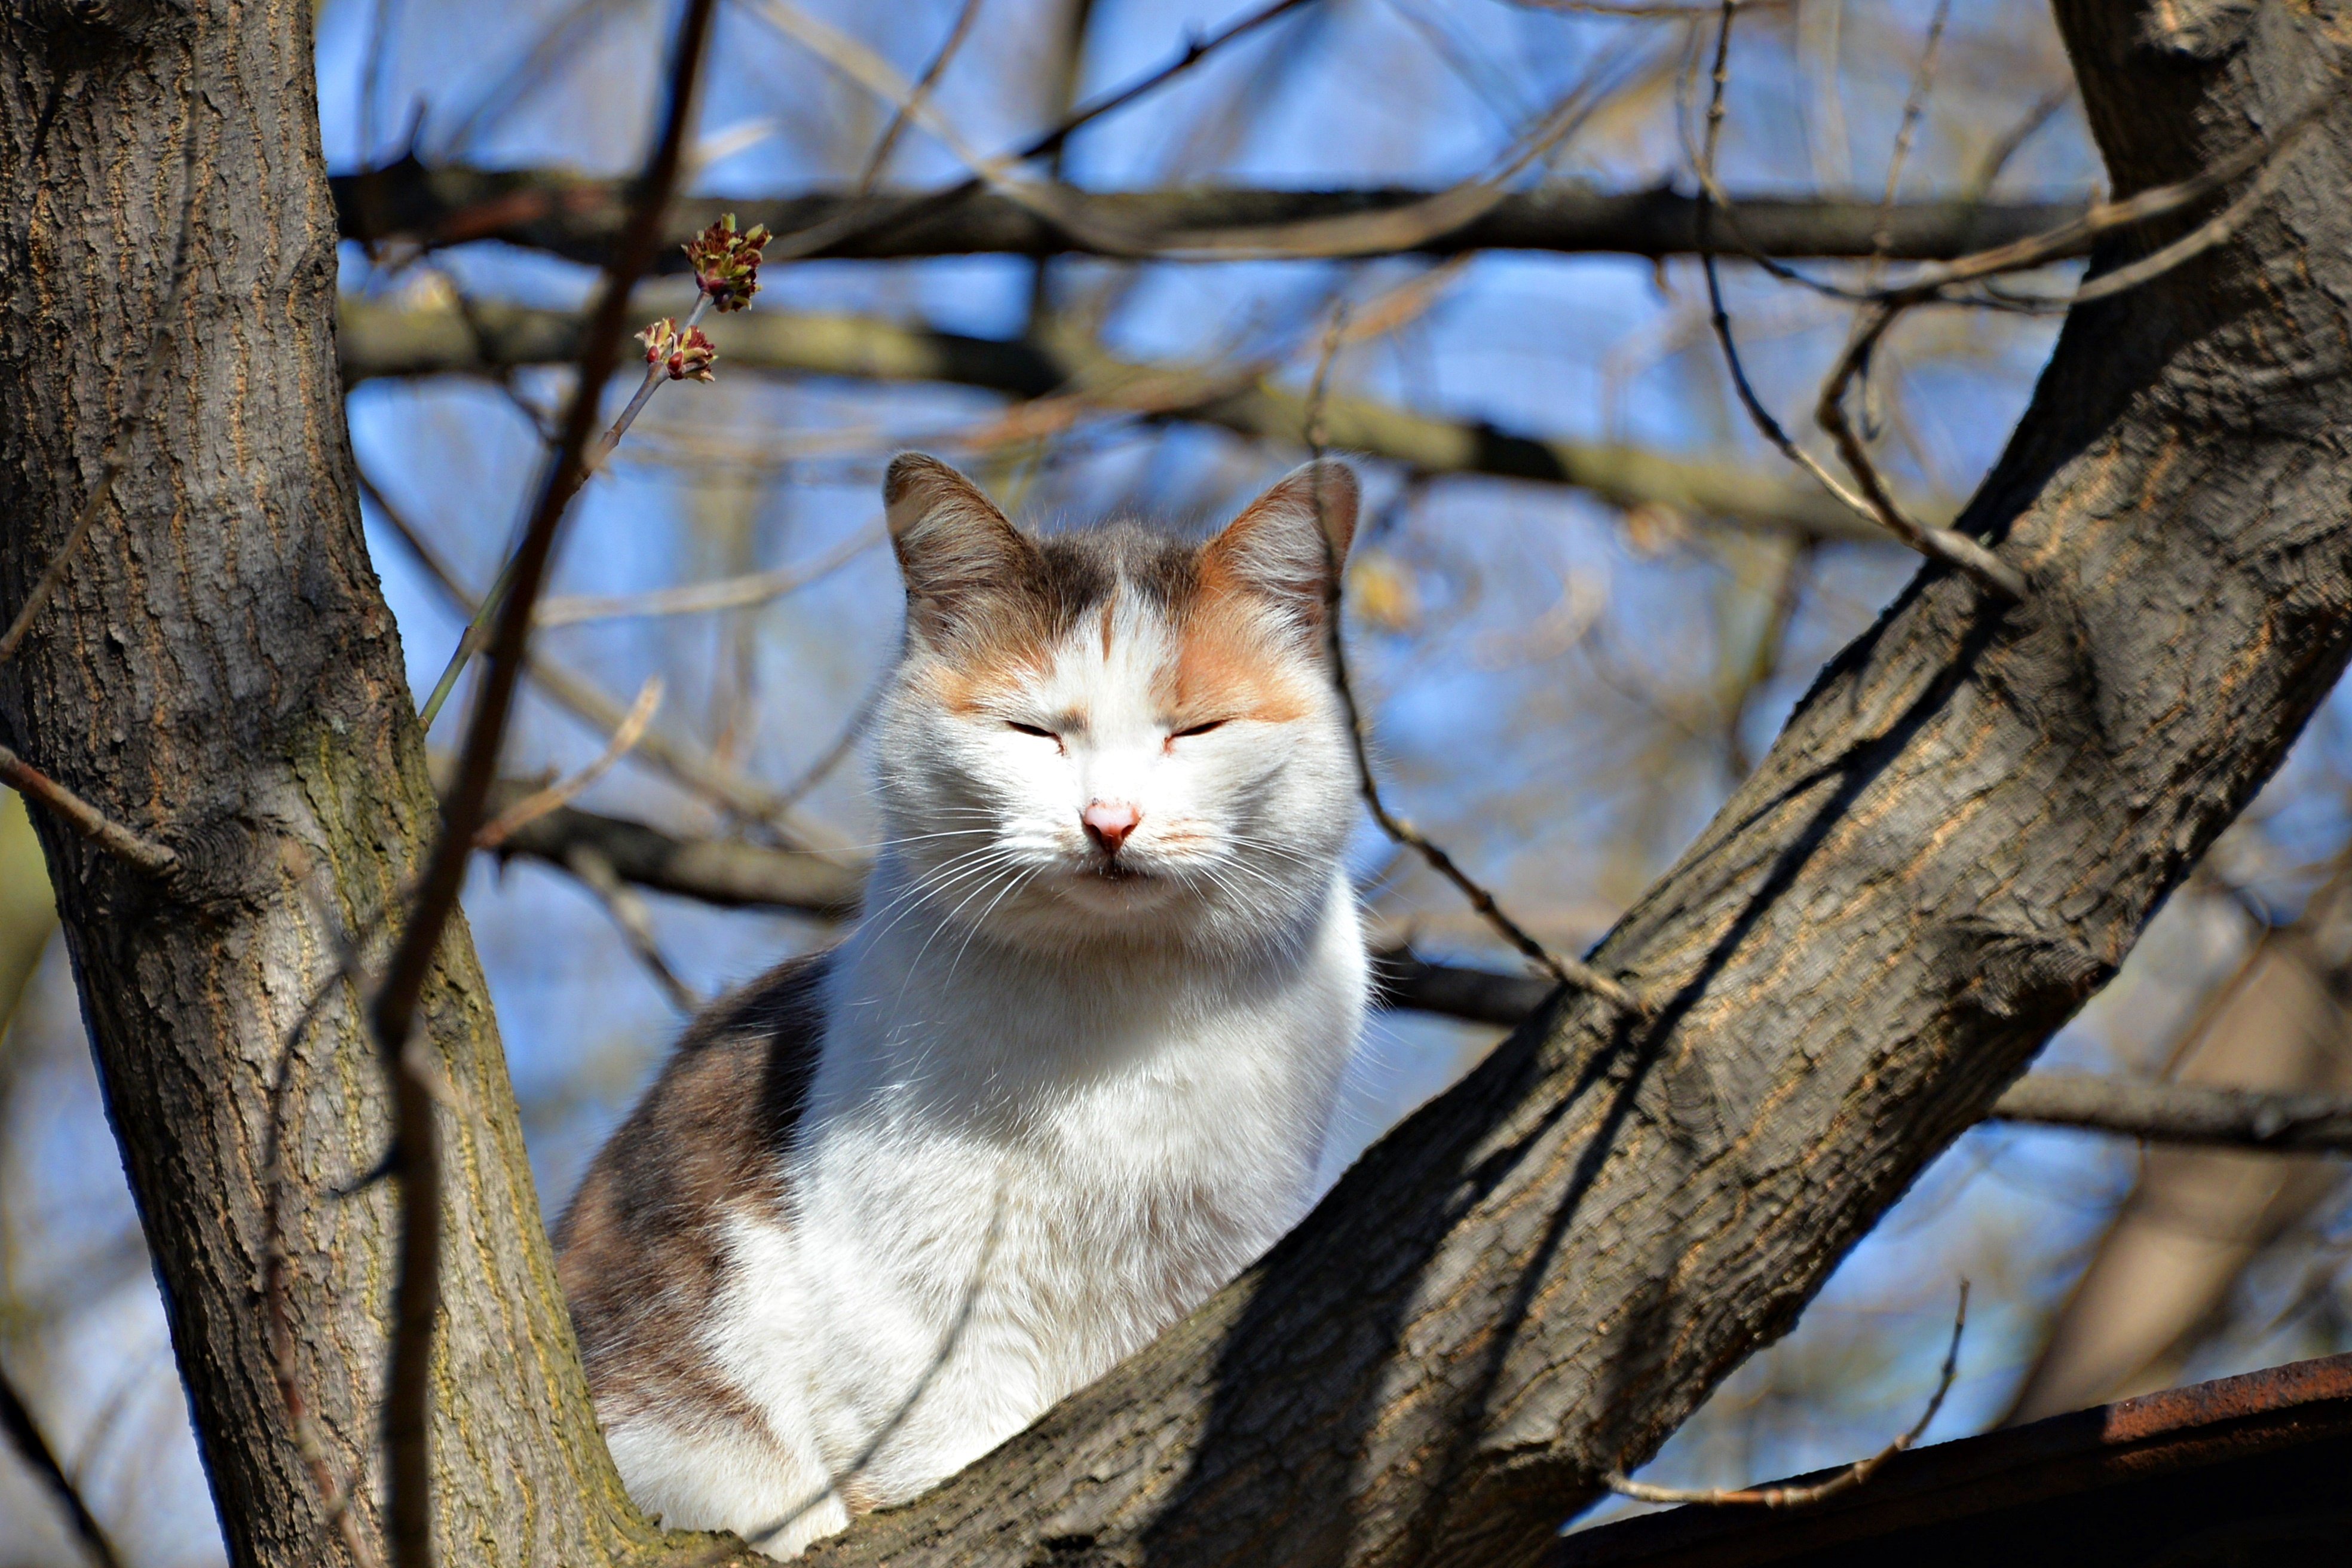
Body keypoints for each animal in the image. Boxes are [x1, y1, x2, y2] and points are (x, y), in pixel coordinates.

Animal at [559, 454, 1373, 1561]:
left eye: (1197, 729)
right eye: (1031, 731)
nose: (1109, 820)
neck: (1116, 1013)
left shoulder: (1212, 1265)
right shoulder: (905, 1287)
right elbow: (947, 1441)